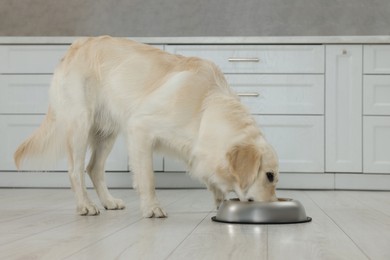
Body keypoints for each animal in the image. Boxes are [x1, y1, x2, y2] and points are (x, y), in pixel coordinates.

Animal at [13, 36, 278, 217]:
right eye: (270, 176)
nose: (275, 205)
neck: (206, 105)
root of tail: (73, 47)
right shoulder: (140, 127)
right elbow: (148, 177)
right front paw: (152, 208)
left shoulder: (197, 150)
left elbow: (211, 177)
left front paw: (220, 201)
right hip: (80, 123)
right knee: (75, 169)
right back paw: (85, 205)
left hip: (106, 131)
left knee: (94, 168)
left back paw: (109, 201)